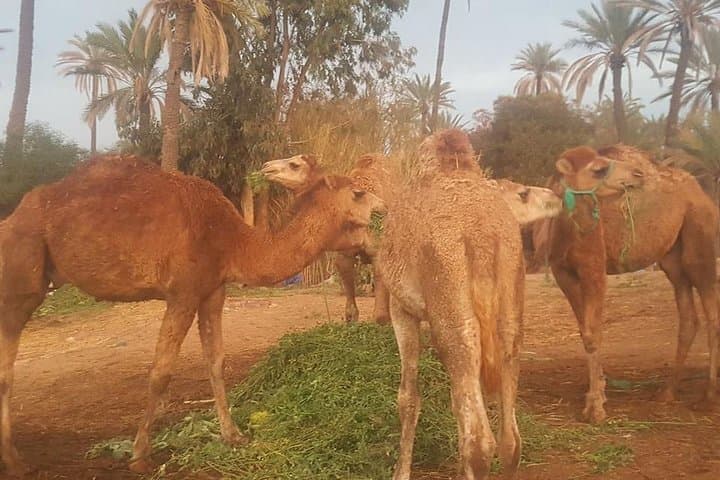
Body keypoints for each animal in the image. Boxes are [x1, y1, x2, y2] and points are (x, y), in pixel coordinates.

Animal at [0, 155, 384, 476]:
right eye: (358, 192)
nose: (385, 207)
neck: (234, 239)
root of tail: (12, 218)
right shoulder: (182, 293)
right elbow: (161, 371)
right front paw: (140, 455)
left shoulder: (212, 290)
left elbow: (216, 361)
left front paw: (233, 435)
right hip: (21, 276)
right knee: (7, 368)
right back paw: (16, 462)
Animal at [261, 155, 563, 326]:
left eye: (294, 164)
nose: (265, 168)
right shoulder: (344, 253)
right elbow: (349, 293)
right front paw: (351, 324)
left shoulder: (380, 250)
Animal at [538, 144, 718, 424]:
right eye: (598, 169)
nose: (637, 174)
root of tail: (700, 191)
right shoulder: (563, 274)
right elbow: (583, 330)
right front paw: (598, 392)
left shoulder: (594, 269)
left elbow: (593, 333)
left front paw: (595, 408)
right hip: (672, 257)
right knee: (689, 316)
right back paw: (667, 392)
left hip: (699, 239)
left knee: (712, 313)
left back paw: (708, 397)